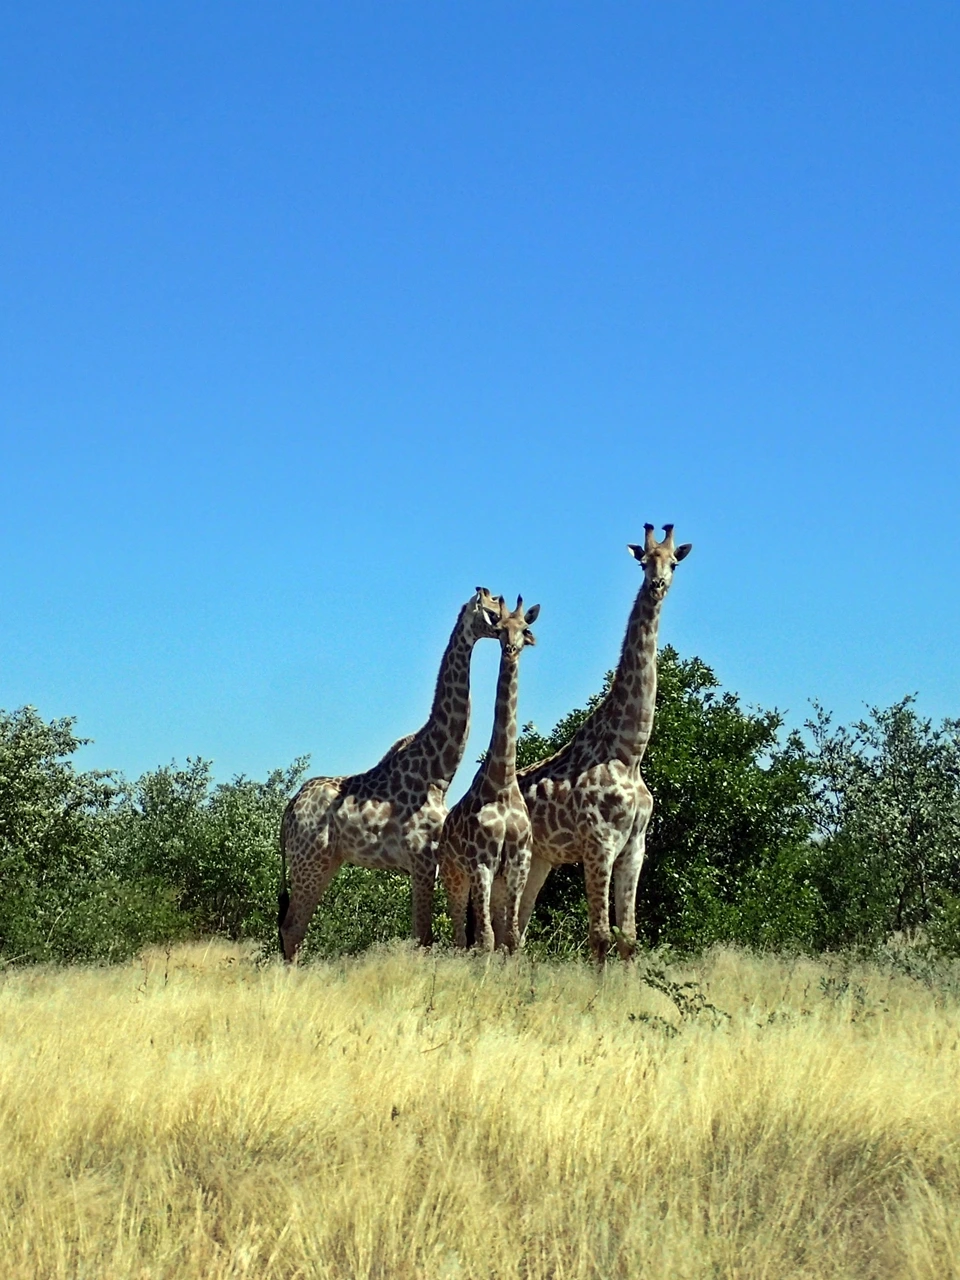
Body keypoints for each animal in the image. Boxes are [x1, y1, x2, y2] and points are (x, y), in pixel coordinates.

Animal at [278, 588, 502, 961]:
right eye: (493, 613)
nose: (516, 631)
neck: (439, 773)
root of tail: (290, 808)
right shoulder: (423, 861)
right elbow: (423, 937)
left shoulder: (428, 865)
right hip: (309, 861)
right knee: (292, 927)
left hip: (325, 862)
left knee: (291, 927)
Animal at [438, 596, 540, 953]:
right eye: (499, 629)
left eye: (524, 629)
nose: (511, 648)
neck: (503, 781)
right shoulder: (481, 862)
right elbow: (485, 937)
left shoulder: (519, 864)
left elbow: (510, 937)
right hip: (455, 876)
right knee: (459, 936)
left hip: (495, 881)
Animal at [511, 525, 692, 963]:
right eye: (644, 561)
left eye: (673, 562)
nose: (658, 584)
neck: (629, 752)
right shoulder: (599, 845)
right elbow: (600, 936)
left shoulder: (635, 847)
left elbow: (629, 938)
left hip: (539, 860)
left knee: (517, 931)